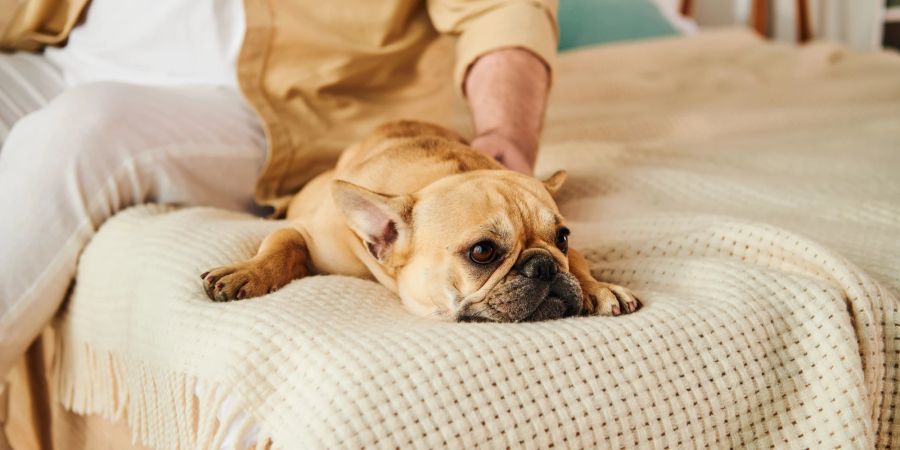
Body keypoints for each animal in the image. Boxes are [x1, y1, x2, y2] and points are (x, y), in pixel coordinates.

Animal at [204, 121, 640, 322]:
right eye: (483, 252)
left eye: (562, 237)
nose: (545, 265)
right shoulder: (310, 234)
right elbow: (281, 243)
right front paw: (249, 272)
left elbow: (580, 264)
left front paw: (599, 287)